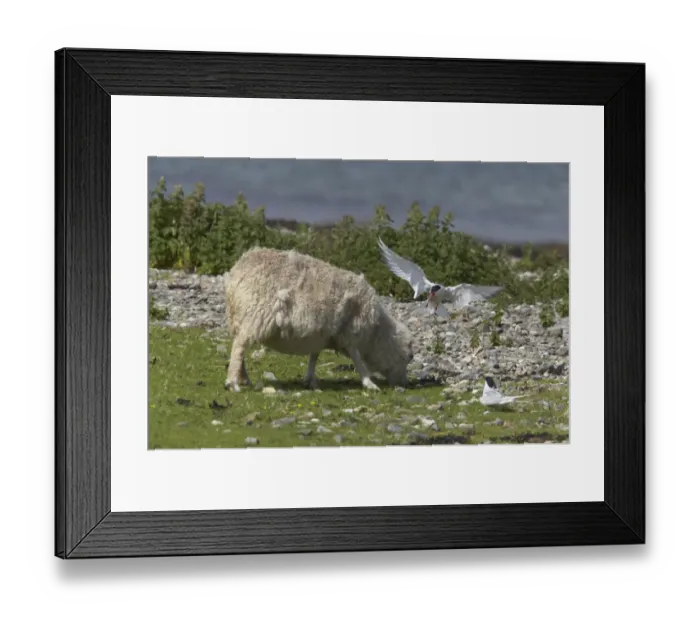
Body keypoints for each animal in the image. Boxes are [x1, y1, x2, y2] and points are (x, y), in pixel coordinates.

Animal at [223, 247, 415, 392]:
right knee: (239, 347)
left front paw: (310, 380)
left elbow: (314, 357)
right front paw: (369, 383)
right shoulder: (350, 334)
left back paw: (244, 379)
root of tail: (238, 269)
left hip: (242, 318)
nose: (404, 384)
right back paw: (233, 383)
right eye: (408, 358)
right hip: (255, 315)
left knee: (240, 347)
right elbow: (358, 360)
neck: (375, 335)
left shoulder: (321, 335)